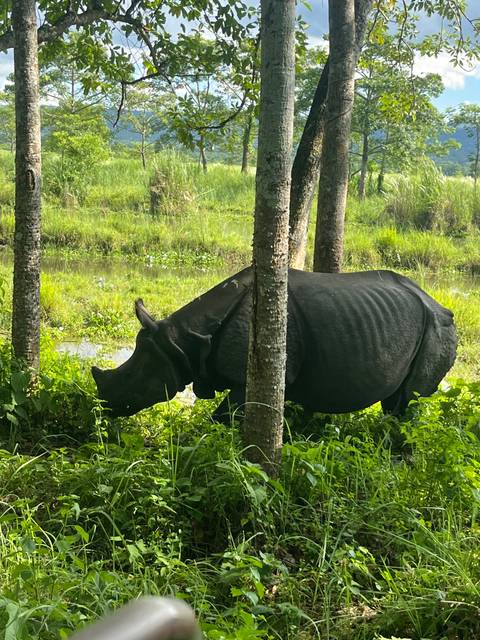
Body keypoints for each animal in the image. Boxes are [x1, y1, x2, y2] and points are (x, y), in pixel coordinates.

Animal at [91, 267, 457, 418]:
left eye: (131, 378)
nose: (104, 408)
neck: (182, 341)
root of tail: (436, 301)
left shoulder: (247, 379)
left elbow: (223, 418)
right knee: (396, 403)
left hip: (438, 327)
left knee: (406, 400)